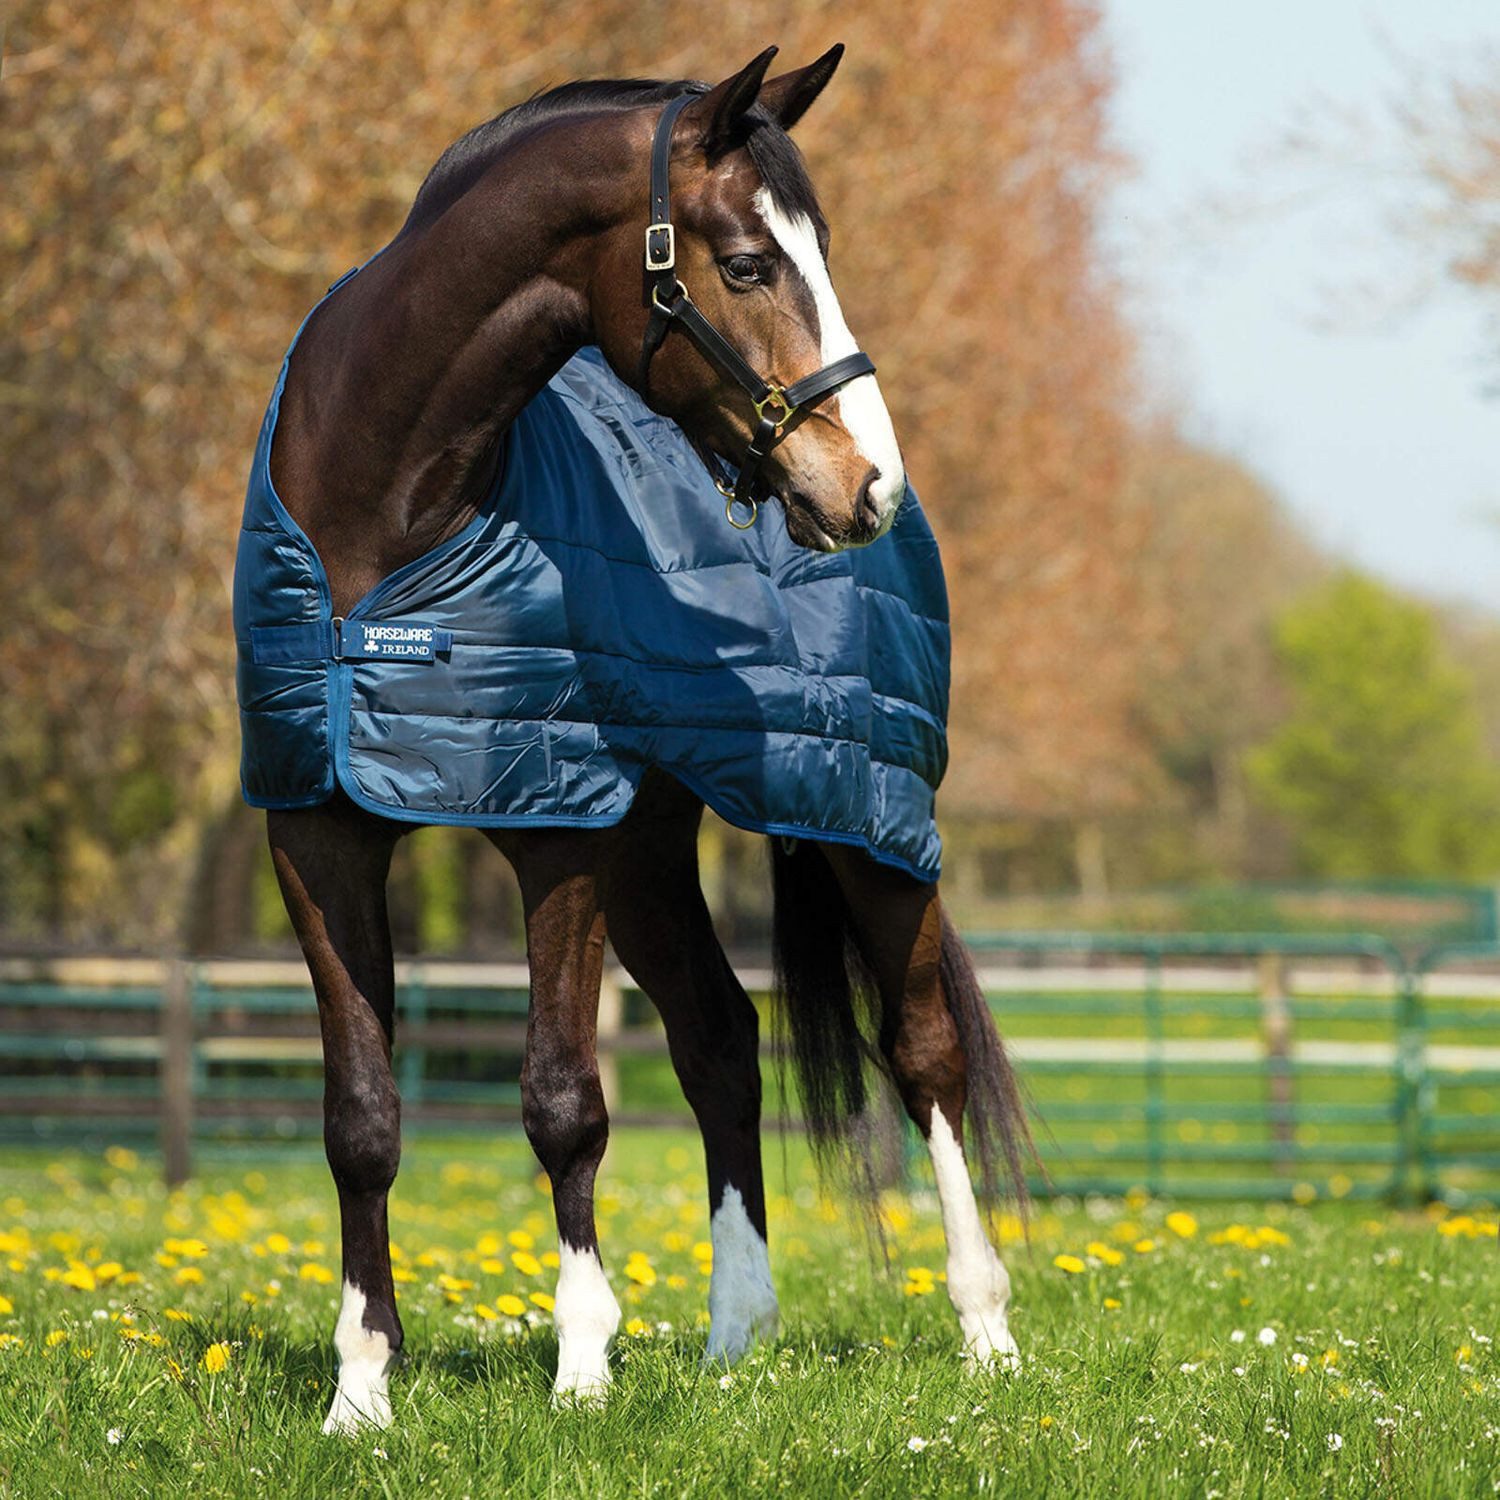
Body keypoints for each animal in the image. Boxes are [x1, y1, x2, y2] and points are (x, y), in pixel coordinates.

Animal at [244, 46, 1031, 1434]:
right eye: (749, 264)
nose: (867, 484)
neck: (383, 521)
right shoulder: (319, 829)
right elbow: (361, 1117)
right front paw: (362, 1392)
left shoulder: (556, 829)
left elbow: (564, 1100)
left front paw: (582, 1373)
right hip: (655, 854)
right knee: (720, 1044)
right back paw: (735, 1338)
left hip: (865, 816)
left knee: (924, 1051)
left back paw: (984, 1331)